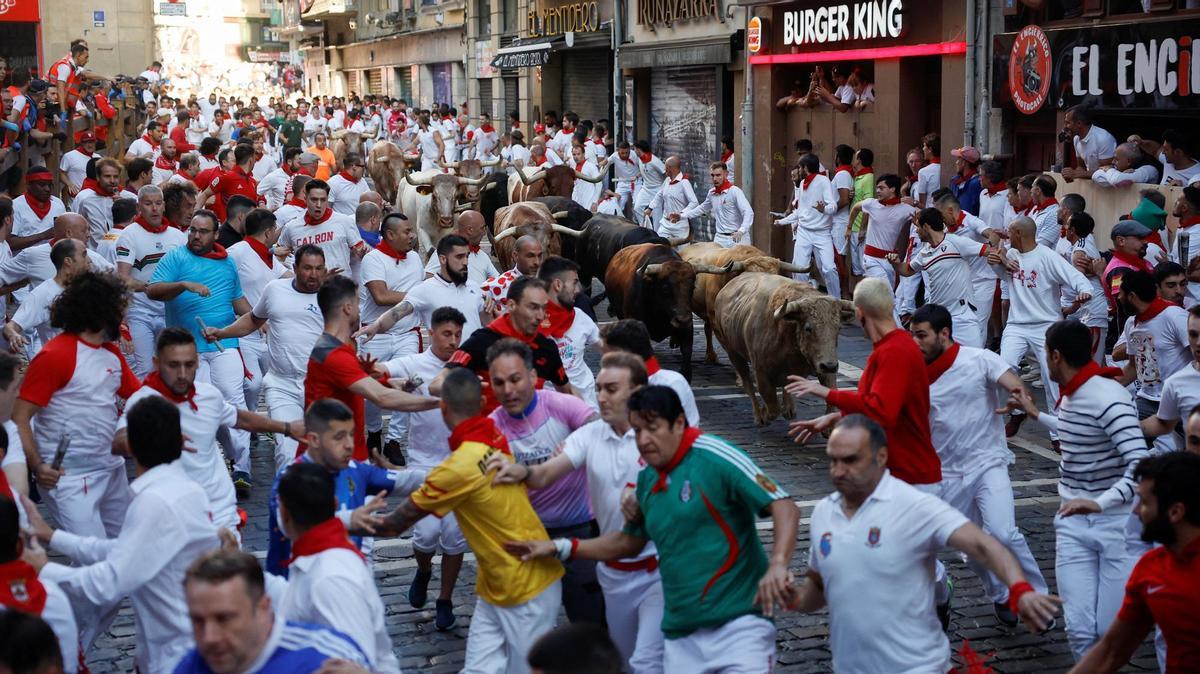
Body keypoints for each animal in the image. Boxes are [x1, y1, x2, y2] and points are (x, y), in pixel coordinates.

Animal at [710, 271, 854, 419]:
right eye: (808, 328)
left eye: (838, 328)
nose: (830, 366)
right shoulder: (761, 372)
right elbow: (772, 408)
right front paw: (764, 414)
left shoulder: (824, 366)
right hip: (733, 353)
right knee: (747, 382)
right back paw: (759, 416)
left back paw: (788, 408)